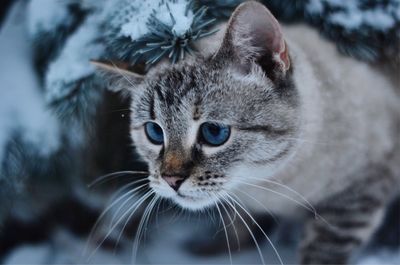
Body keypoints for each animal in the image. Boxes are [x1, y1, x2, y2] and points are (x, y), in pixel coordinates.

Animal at [94, 1, 400, 262]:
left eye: (214, 132)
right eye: (154, 133)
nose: (171, 180)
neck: (268, 186)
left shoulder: (357, 193)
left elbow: (322, 251)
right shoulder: (240, 200)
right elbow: (238, 224)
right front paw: (215, 249)